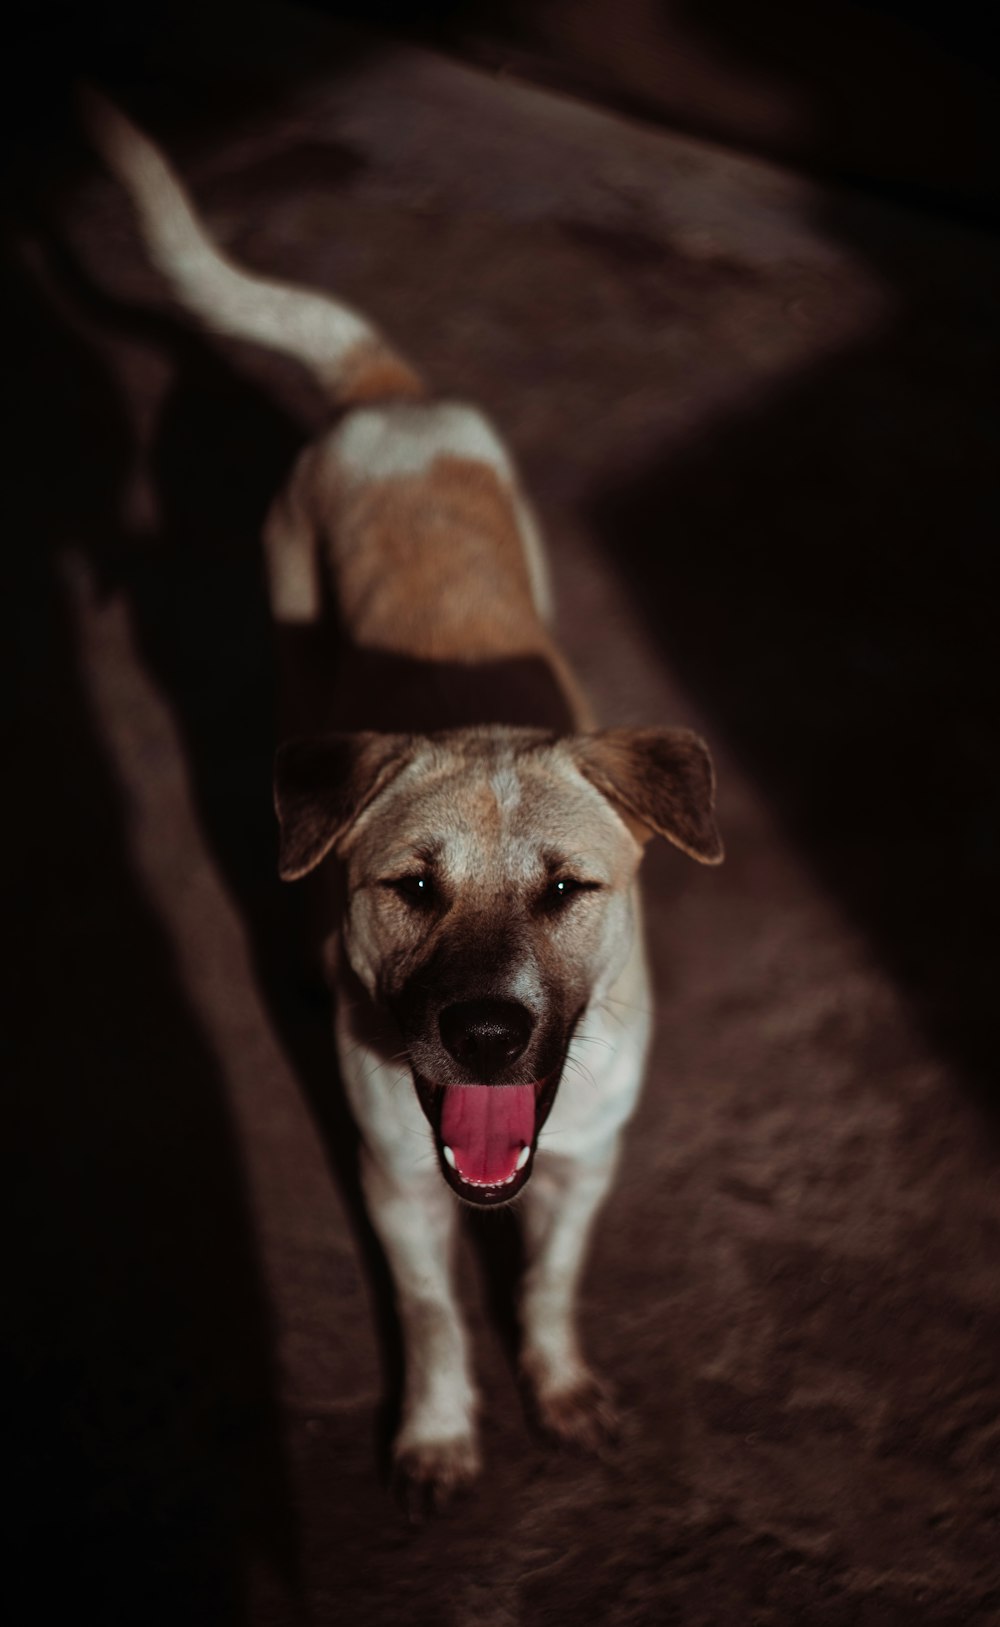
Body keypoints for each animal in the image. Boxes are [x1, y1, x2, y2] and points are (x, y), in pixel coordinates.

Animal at [86, 95, 725, 1503]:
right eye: (411, 888)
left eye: (567, 888)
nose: (484, 1034)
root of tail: (391, 397)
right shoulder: (394, 1183)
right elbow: (434, 1311)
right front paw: (435, 1430)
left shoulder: (585, 1164)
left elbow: (546, 1283)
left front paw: (556, 1381)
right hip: (290, 647)